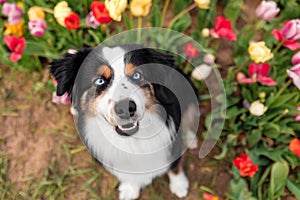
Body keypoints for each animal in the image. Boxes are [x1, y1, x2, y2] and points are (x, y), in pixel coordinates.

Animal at [50, 44, 198, 199]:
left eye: (137, 75)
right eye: (100, 81)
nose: (126, 108)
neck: (132, 141)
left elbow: (175, 166)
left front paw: (179, 185)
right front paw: (130, 190)